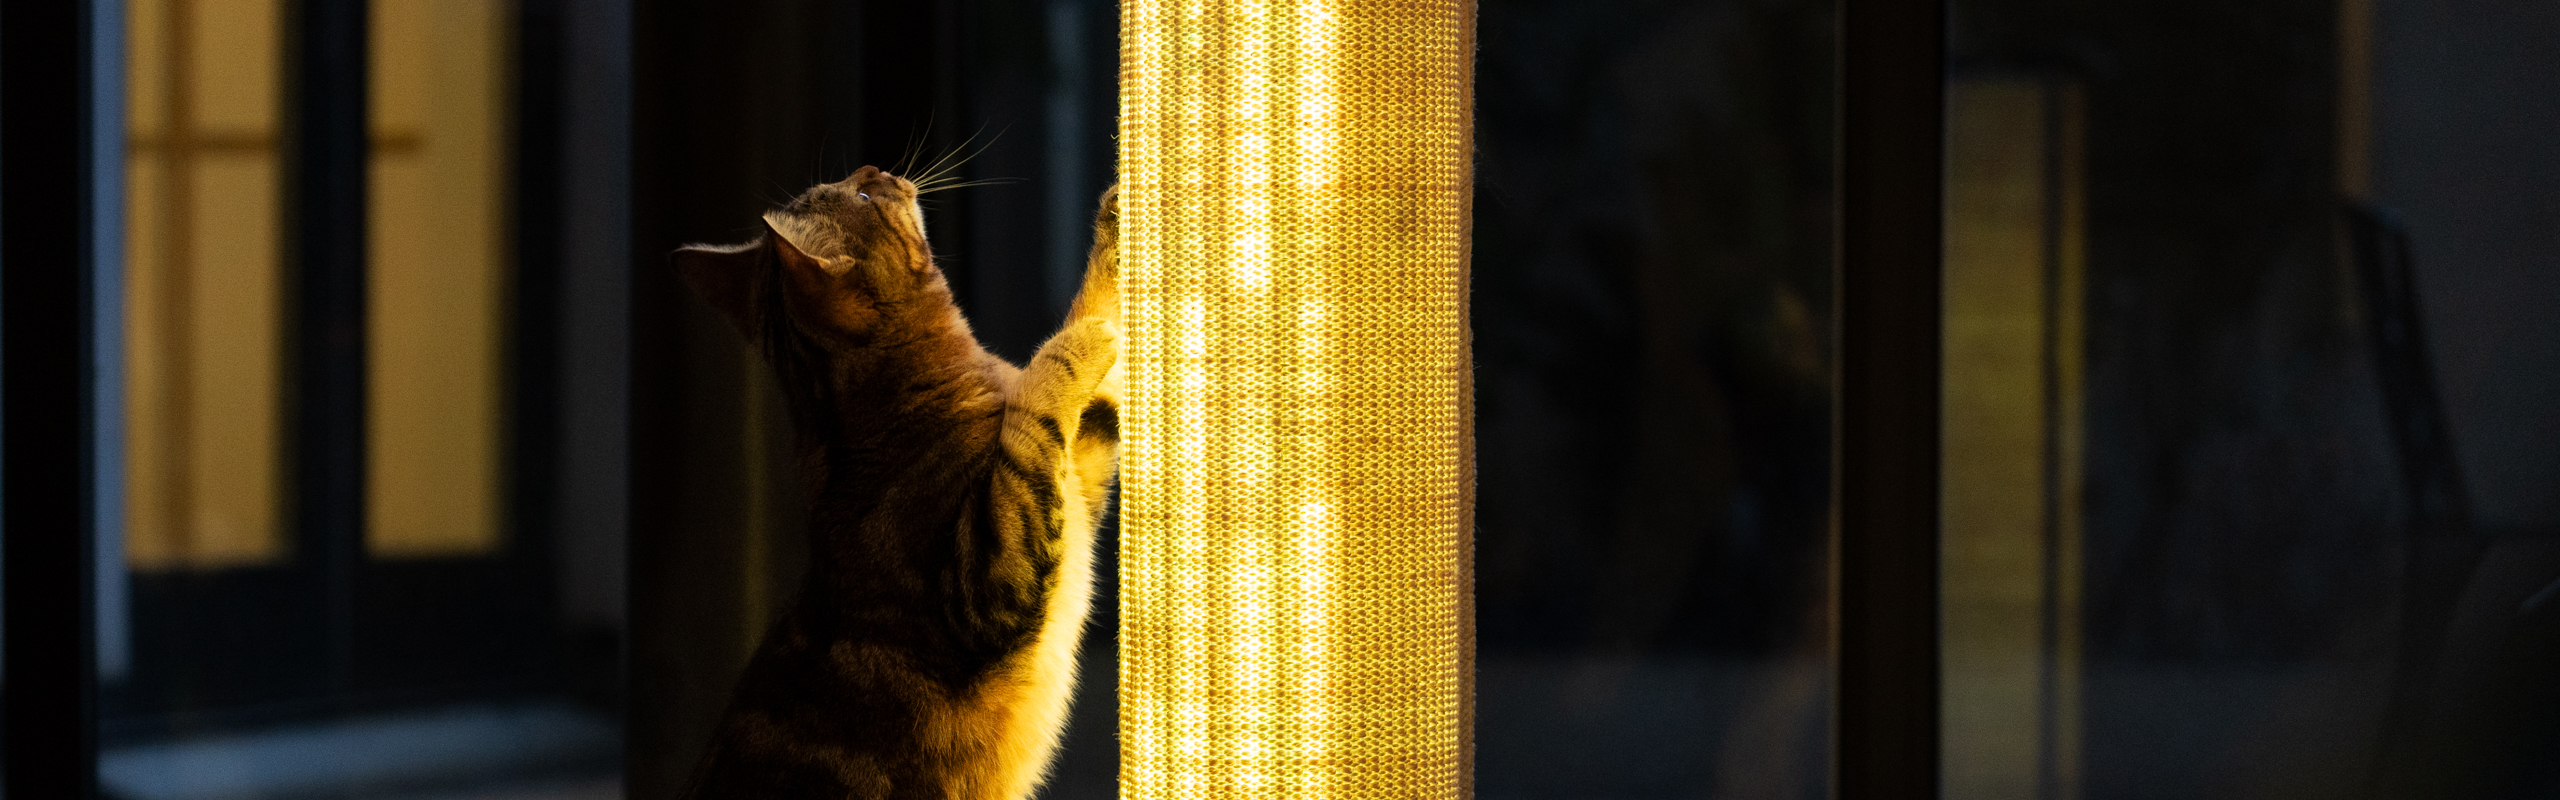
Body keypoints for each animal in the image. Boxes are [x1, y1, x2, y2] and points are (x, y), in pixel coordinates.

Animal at [670, 165, 1121, 794]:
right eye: (862, 194)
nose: (875, 169)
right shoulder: (991, 579)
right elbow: (1044, 388)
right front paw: (1075, 344)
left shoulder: (1081, 473)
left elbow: (1096, 319)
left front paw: (1117, 217)